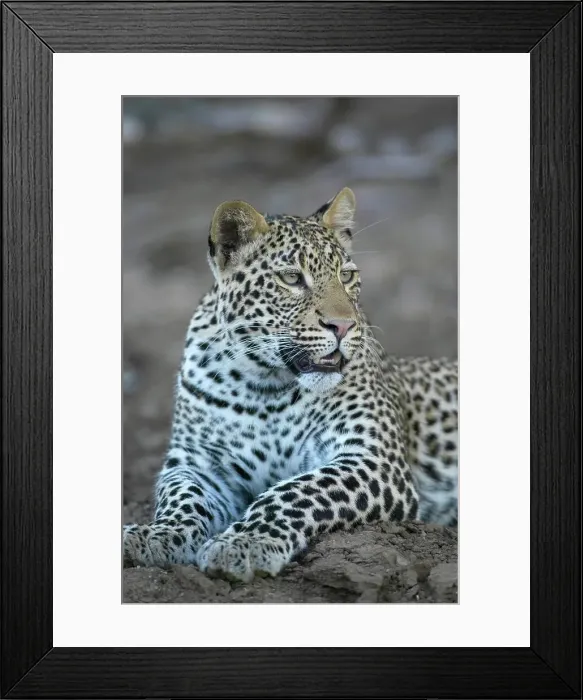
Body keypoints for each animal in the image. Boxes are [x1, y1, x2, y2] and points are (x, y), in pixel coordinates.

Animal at [123, 187, 458, 583]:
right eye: (292, 279)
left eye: (347, 276)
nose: (343, 326)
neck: (262, 386)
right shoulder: (197, 463)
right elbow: (181, 497)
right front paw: (156, 534)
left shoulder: (372, 457)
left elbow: (296, 491)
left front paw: (246, 542)